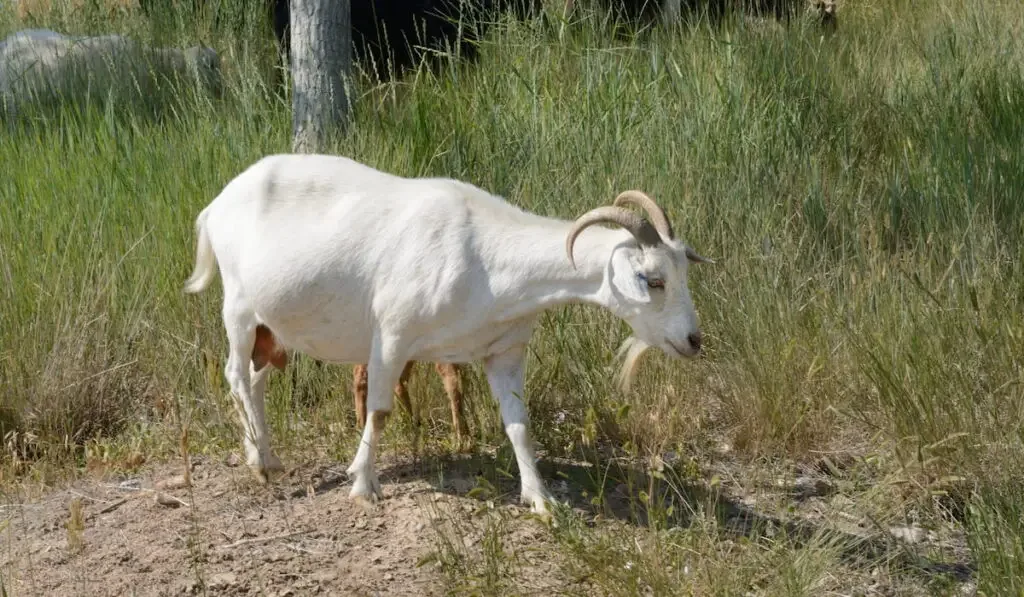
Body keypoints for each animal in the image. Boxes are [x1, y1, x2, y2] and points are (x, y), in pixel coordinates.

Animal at [184, 152, 708, 514]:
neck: (485, 256)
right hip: (240, 307)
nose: (693, 341)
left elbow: (519, 425)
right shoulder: (392, 335)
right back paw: (261, 464)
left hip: (273, 328)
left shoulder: (505, 351)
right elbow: (379, 411)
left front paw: (540, 500)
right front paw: (363, 486)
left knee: (255, 381)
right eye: (652, 279)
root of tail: (214, 206)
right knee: (235, 375)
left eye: (684, 272)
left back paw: (264, 456)